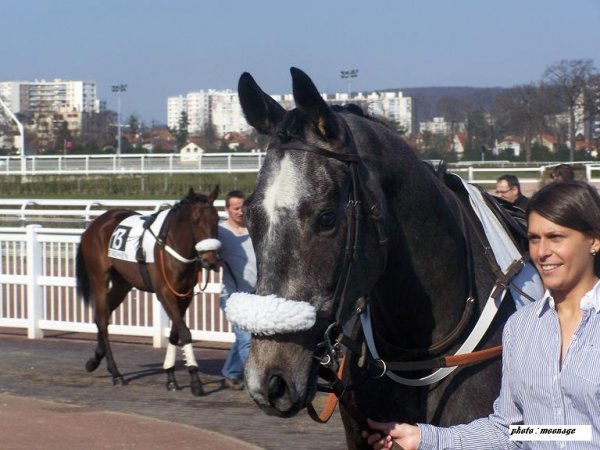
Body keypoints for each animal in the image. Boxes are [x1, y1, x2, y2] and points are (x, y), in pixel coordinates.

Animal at [75, 188, 220, 396]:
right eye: (195, 220)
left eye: (217, 219)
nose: (210, 261)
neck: (172, 244)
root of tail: (95, 224)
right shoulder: (165, 293)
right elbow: (184, 333)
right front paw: (195, 380)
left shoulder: (185, 295)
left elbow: (175, 333)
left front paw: (170, 377)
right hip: (99, 278)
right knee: (102, 319)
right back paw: (116, 374)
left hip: (123, 283)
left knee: (104, 315)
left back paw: (95, 359)